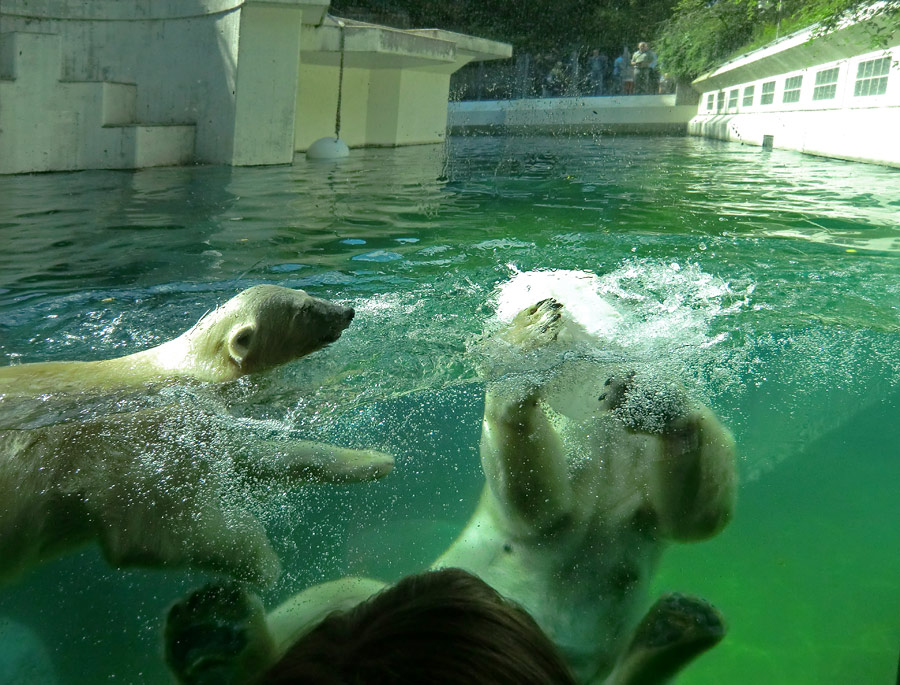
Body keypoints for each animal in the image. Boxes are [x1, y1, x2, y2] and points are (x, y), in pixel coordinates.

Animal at [0, 286, 394, 584]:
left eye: (304, 292)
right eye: (304, 309)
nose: (347, 310)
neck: (186, 375)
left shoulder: (203, 429)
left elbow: (259, 454)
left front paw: (375, 459)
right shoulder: (137, 447)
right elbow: (159, 535)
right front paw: (265, 563)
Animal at [163, 296, 740, 684]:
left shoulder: (637, 483)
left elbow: (695, 517)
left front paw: (656, 401)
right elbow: (540, 508)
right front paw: (524, 344)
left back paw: (679, 627)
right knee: (346, 594)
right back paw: (213, 633)